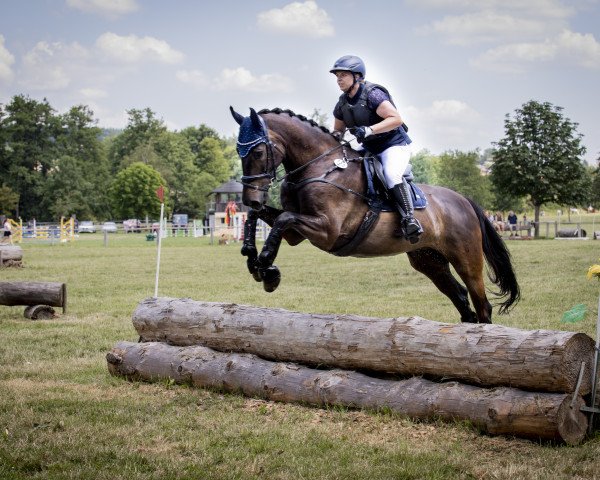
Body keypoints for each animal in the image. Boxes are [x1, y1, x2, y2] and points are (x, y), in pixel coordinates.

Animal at [230, 105, 520, 322]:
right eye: (238, 151)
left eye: (258, 151)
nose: (250, 198)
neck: (321, 166)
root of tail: (464, 201)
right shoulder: (296, 234)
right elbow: (260, 218)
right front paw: (253, 258)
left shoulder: (327, 231)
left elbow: (281, 219)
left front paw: (267, 266)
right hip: (429, 260)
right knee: (460, 298)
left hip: (466, 258)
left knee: (482, 304)